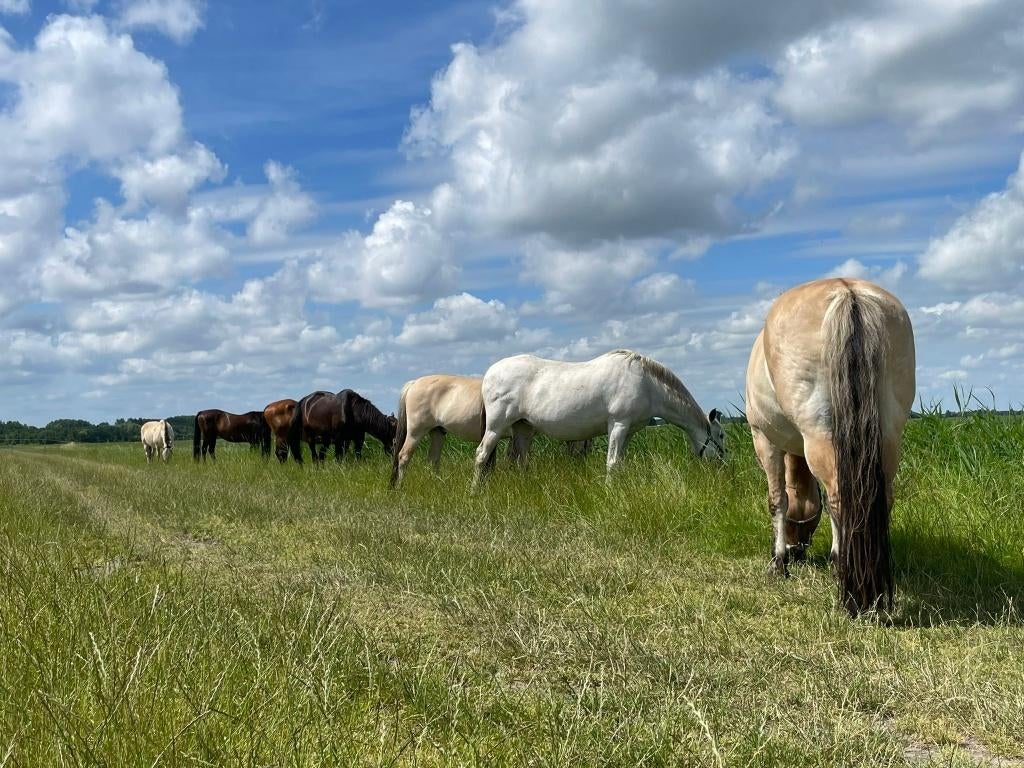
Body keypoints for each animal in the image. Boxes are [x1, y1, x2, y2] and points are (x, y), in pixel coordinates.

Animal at [474, 349, 724, 486]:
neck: (648, 384)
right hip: (496, 426)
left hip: (523, 428)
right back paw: (476, 490)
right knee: (481, 455)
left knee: (521, 460)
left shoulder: (629, 430)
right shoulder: (618, 424)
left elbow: (620, 462)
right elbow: (611, 463)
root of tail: (489, 373)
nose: (722, 466)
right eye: (721, 435)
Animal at [745, 277, 915, 617]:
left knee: (839, 497)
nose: (798, 550)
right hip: (888, 437)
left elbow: (778, 500)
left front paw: (778, 563)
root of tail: (848, 292)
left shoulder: (765, 441)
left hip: (818, 433)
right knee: (874, 498)